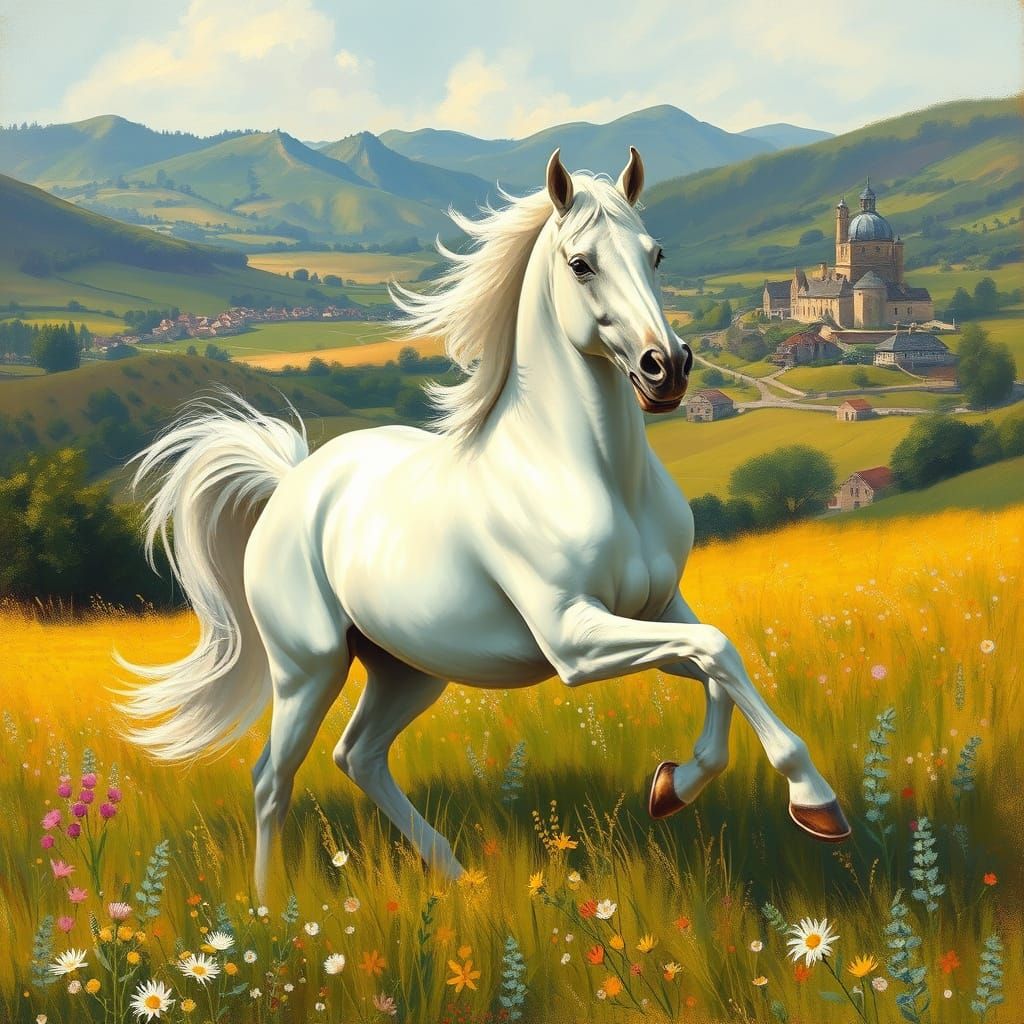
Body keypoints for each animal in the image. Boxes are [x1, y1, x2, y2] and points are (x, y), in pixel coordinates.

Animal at [119, 148, 850, 899]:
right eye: (581, 263)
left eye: (656, 253)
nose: (667, 369)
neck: (589, 475)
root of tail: (294, 480)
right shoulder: (573, 639)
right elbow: (716, 651)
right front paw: (813, 802)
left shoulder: (657, 608)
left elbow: (717, 660)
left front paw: (675, 786)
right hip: (307, 667)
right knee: (271, 778)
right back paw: (270, 907)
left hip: (408, 668)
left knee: (358, 756)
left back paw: (456, 877)